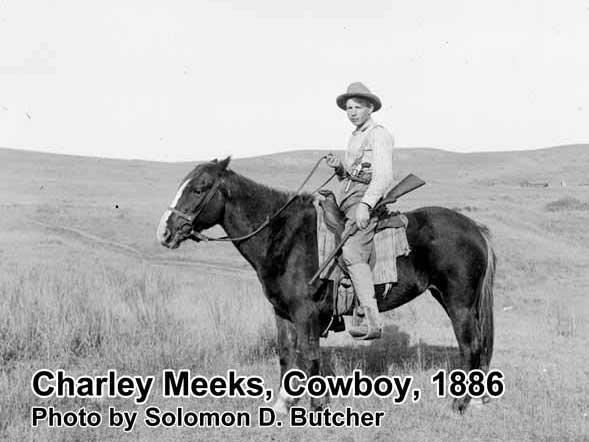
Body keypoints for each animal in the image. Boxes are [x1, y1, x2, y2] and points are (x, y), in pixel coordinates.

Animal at [157, 157, 496, 412]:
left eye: (199, 188)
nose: (165, 232)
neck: (284, 237)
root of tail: (475, 228)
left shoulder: (306, 313)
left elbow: (309, 356)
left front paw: (317, 408)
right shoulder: (282, 313)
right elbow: (287, 355)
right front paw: (283, 405)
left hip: (459, 303)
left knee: (469, 346)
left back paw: (459, 405)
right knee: (477, 345)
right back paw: (476, 401)